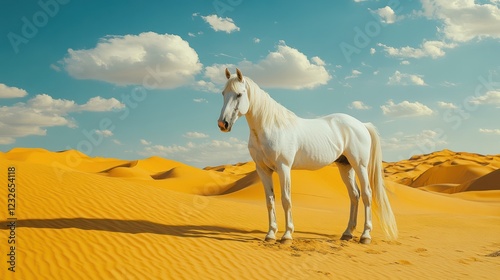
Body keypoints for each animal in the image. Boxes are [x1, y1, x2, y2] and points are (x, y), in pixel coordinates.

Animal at [217, 69, 396, 244]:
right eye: (223, 93)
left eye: (239, 94)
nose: (222, 124)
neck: (271, 127)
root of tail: (361, 125)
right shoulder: (263, 170)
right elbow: (270, 201)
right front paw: (270, 234)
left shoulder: (283, 167)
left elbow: (286, 200)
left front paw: (287, 235)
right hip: (346, 166)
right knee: (354, 195)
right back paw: (347, 233)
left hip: (360, 165)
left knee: (366, 194)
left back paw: (365, 235)